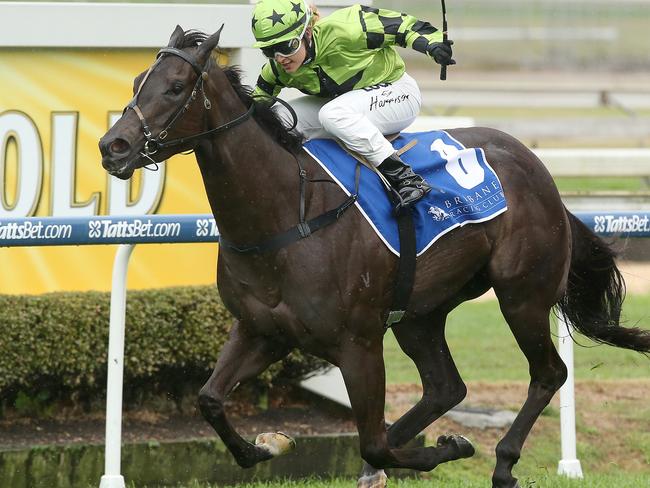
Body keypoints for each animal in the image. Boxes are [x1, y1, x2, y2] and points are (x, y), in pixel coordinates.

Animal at [97, 27, 648, 488]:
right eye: (137, 81)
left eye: (174, 87)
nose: (112, 146)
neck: (287, 213)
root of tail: (539, 168)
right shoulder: (261, 331)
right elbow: (210, 399)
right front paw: (268, 445)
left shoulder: (358, 343)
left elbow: (375, 442)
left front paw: (449, 447)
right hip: (421, 312)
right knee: (445, 388)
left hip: (522, 294)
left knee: (548, 373)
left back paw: (503, 462)